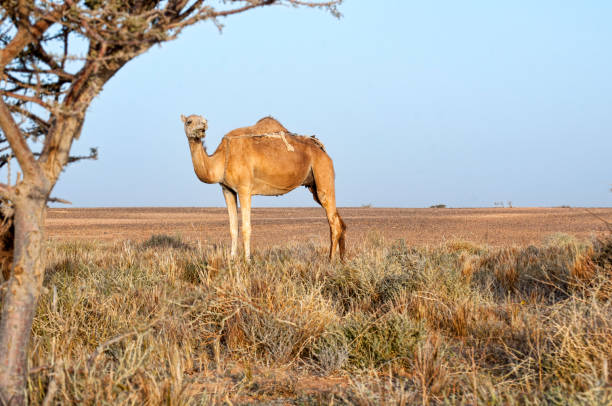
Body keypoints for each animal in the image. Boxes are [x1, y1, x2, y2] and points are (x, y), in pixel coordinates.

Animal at [179, 114, 346, 260]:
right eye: (189, 121)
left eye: (204, 120)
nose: (202, 127)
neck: (222, 157)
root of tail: (323, 151)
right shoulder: (227, 190)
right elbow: (233, 228)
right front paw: (231, 259)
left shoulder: (244, 188)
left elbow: (246, 228)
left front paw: (247, 260)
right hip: (313, 184)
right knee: (339, 220)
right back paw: (342, 260)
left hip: (323, 171)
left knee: (333, 221)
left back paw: (330, 260)